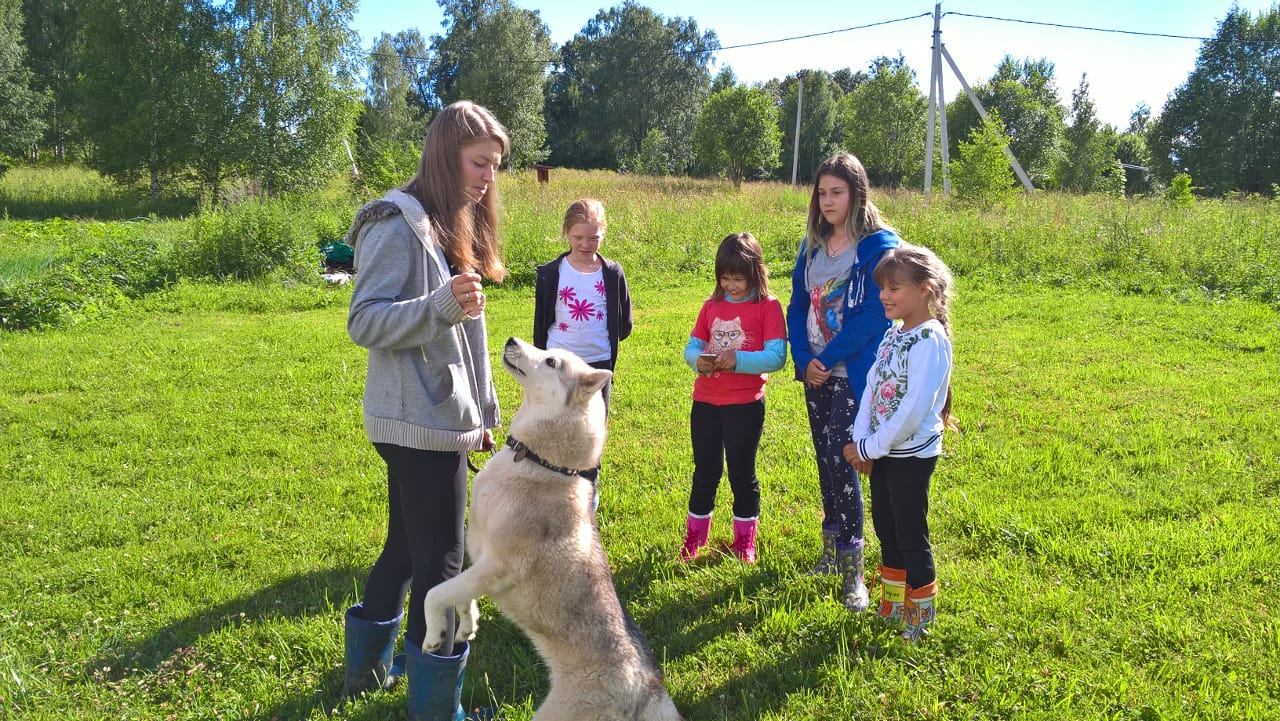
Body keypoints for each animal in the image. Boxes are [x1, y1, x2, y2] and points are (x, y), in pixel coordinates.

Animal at [424, 338, 686, 721]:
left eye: (550, 361)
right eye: (547, 350)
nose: (512, 341)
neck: (539, 461)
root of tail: (648, 689)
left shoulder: (498, 566)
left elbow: (435, 592)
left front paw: (434, 632)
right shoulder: (478, 558)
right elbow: (459, 592)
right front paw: (467, 624)